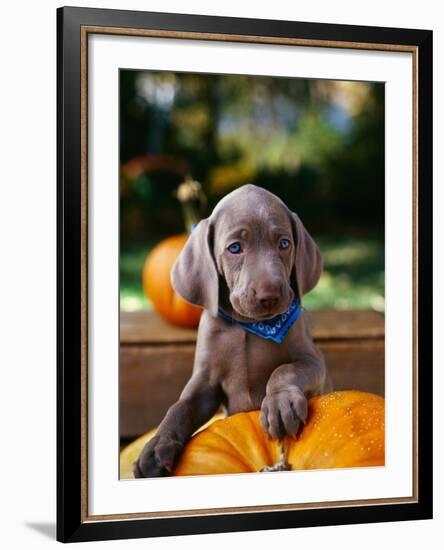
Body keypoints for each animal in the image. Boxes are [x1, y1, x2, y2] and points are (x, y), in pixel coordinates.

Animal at [134, 184, 332, 478]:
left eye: (284, 244)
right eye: (235, 248)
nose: (270, 295)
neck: (250, 328)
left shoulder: (314, 362)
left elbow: (285, 370)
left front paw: (279, 404)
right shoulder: (205, 382)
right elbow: (180, 407)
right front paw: (156, 447)